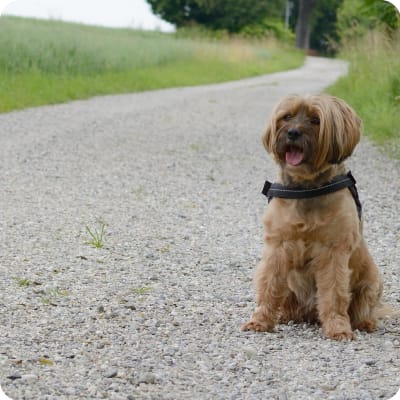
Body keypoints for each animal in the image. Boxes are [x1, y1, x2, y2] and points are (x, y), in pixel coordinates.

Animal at [242, 94, 386, 340]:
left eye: (315, 120)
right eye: (287, 117)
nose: (292, 133)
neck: (306, 187)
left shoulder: (333, 252)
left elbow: (334, 293)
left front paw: (338, 328)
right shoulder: (277, 247)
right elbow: (269, 286)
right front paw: (260, 321)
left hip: (372, 282)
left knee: (363, 307)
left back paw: (364, 323)